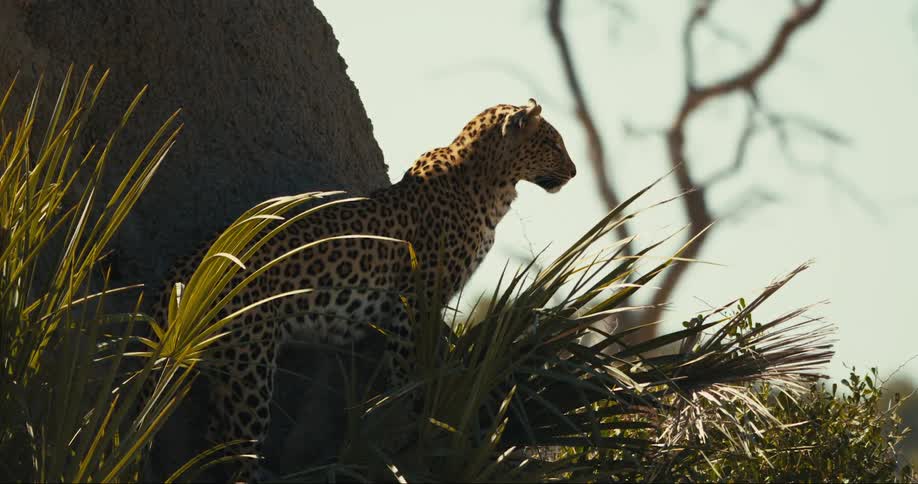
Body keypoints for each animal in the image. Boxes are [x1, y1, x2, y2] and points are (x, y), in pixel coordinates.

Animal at [147, 98, 576, 481]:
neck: (490, 184)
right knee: (237, 444)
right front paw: (411, 429)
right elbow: (410, 371)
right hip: (249, 363)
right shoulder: (416, 302)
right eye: (553, 143)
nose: (573, 172)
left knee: (214, 438)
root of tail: (180, 274)